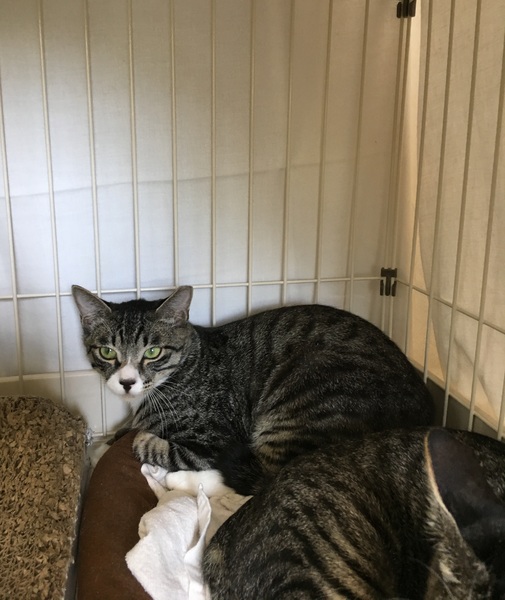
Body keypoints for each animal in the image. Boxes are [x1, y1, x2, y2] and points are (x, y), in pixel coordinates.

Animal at [72, 284, 434, 494]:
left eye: (153, 352)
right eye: (107, 352)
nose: (127, 381)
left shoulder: (214, 437)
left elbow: (173, 450)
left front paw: (139, 442)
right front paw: (105, 444)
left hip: (305, 394)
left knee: (267, 479)